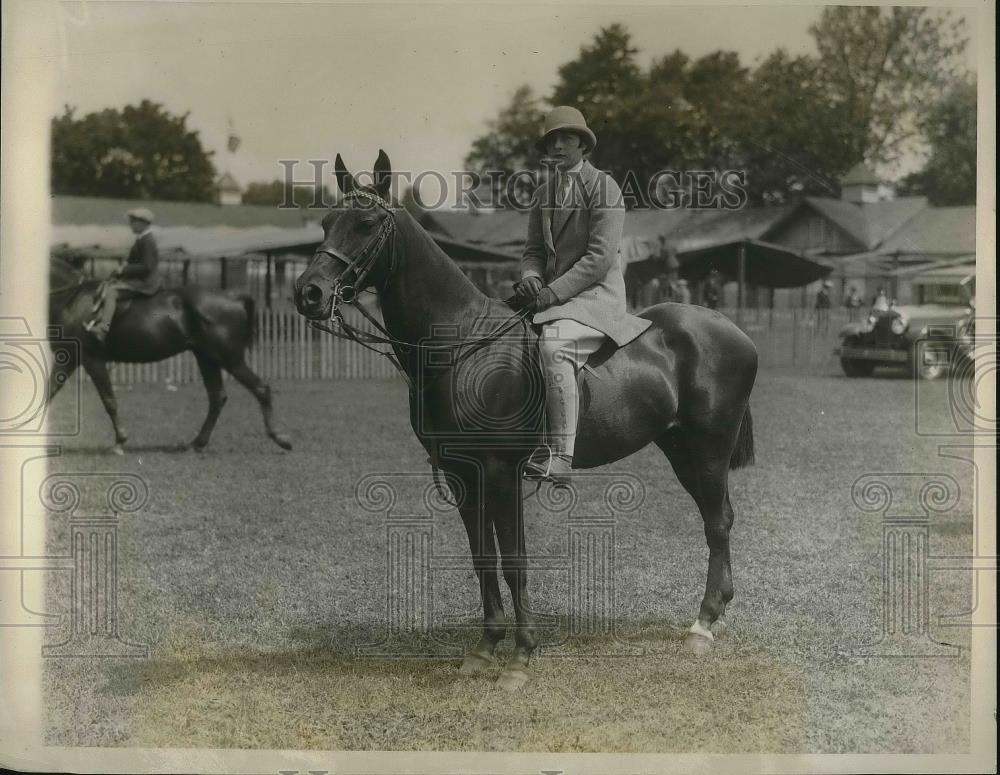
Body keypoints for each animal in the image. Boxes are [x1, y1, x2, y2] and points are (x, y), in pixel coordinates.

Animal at [48, 258, 292, 452]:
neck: (71, 299)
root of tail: (234, 297)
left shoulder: (92, 360)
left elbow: (109, 401)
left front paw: (120, 442)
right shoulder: (66, 359)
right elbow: (48, 392)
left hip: (230, 359)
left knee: (260, 389)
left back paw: (281, 438)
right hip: (207, 358)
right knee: (217, 397)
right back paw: (198, 443)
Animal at [292, 152, 752, 692]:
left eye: (365, 224)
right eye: (326, 222)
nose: (309, 293)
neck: (461, 342)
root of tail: (728, 327)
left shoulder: (499, 472)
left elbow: (514, 562)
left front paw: (521, 655)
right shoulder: (462, 475)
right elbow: (483, 560)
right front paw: (486, 647)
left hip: (709, 451)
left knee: (718, 522)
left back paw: (703, 624)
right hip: (681, 449)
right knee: (715, 521)